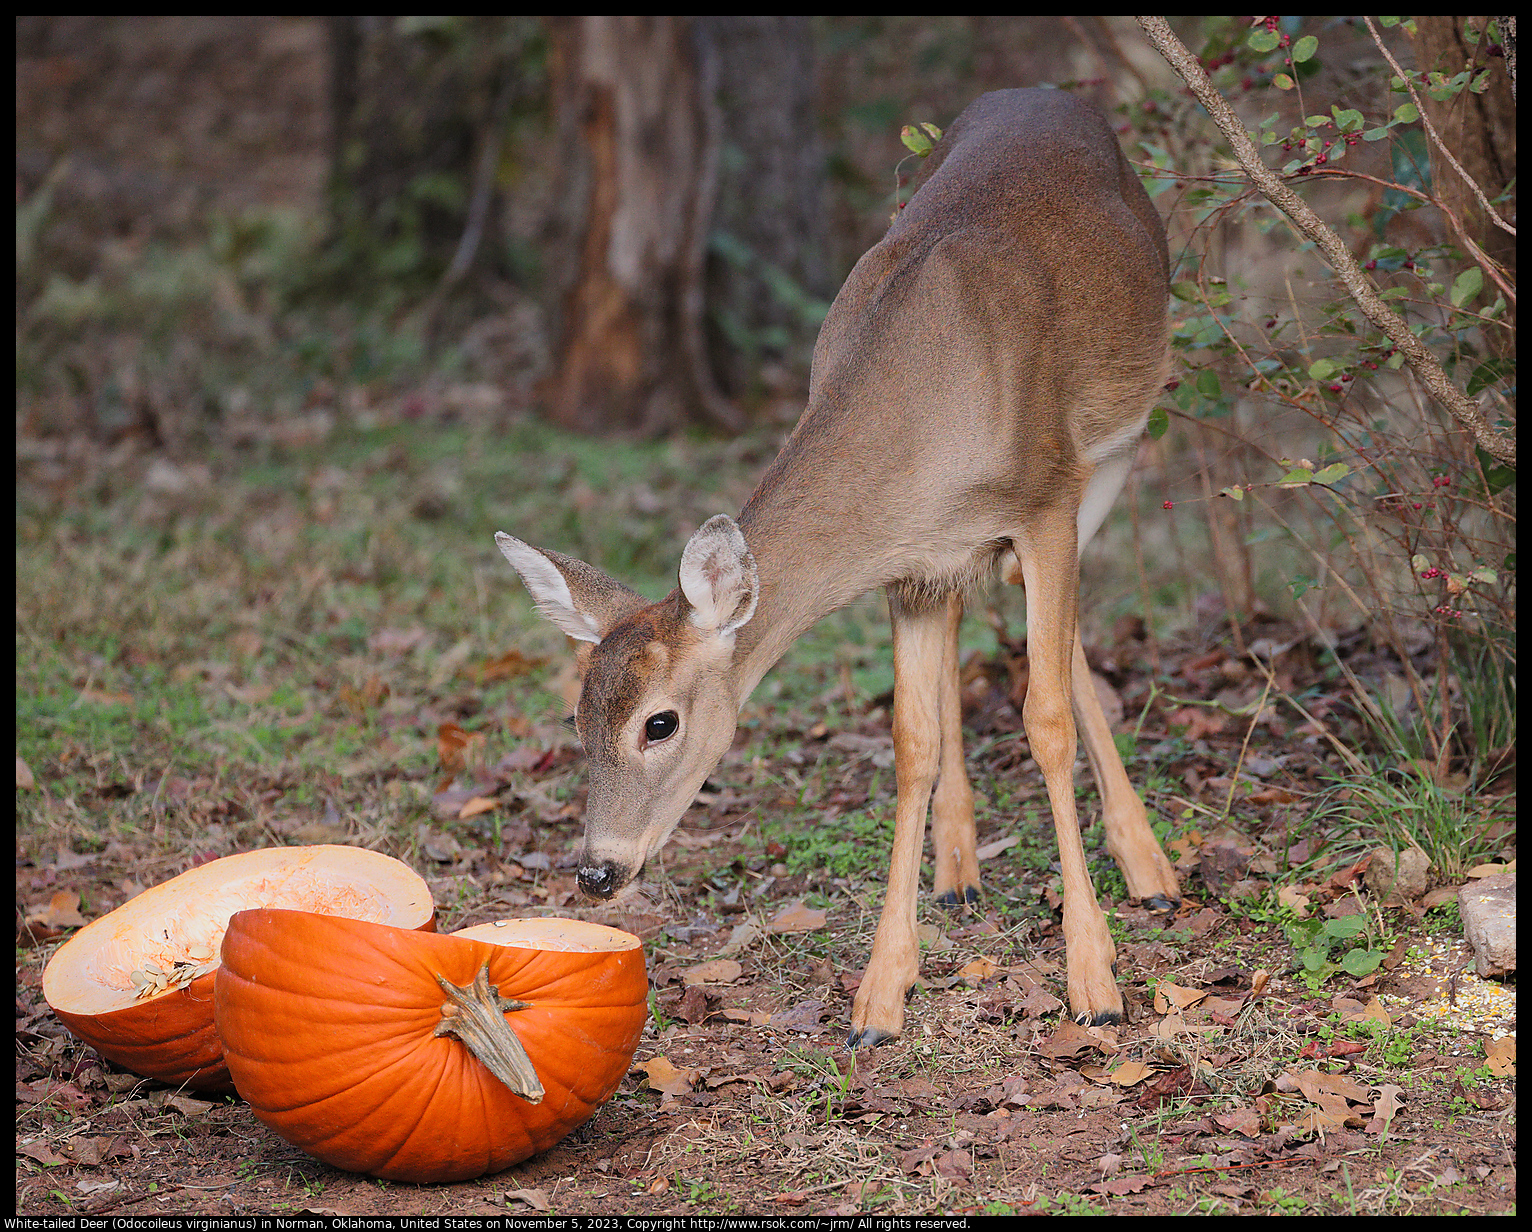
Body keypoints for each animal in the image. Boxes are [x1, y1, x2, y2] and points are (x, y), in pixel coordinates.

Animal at [502, 88, 1182, 1048]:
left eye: (659, 724)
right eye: (576, 716)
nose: (598, 872)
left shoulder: (1045, 501)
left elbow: (1043, 716)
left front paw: (1094, 978)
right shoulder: (908, 566)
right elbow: (910, 742)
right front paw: (882, 994)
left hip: (1117, 447)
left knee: (1058, 631)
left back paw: (1150, 868)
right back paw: (960, 868)